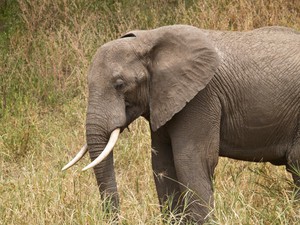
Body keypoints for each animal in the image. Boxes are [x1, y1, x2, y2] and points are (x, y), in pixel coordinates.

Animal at [62, 25, 300, 223]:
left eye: (119, 84)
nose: (117, 219)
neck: (148, 40)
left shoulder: (200, 97)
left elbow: (191, 160)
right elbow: (162, 164)